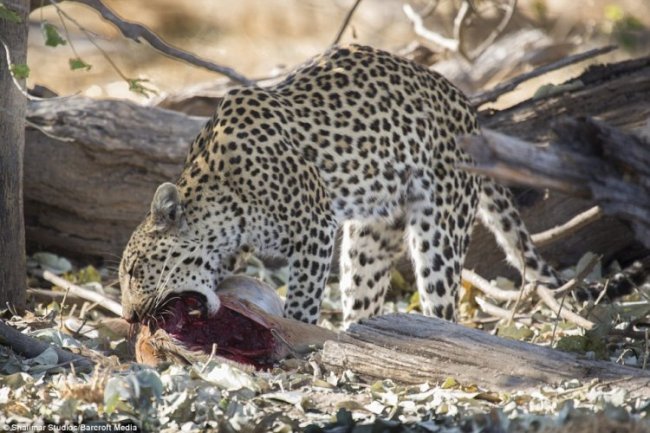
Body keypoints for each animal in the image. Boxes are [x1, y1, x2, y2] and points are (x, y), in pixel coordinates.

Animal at [119, 44, 560, 328]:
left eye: (135, 270)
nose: (128, 316)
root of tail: (469, 110)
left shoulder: (314, 227)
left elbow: (302, 300)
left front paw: (296, 335)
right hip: (370, 238)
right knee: (364, 298)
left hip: (439, 230)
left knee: (443, 303)